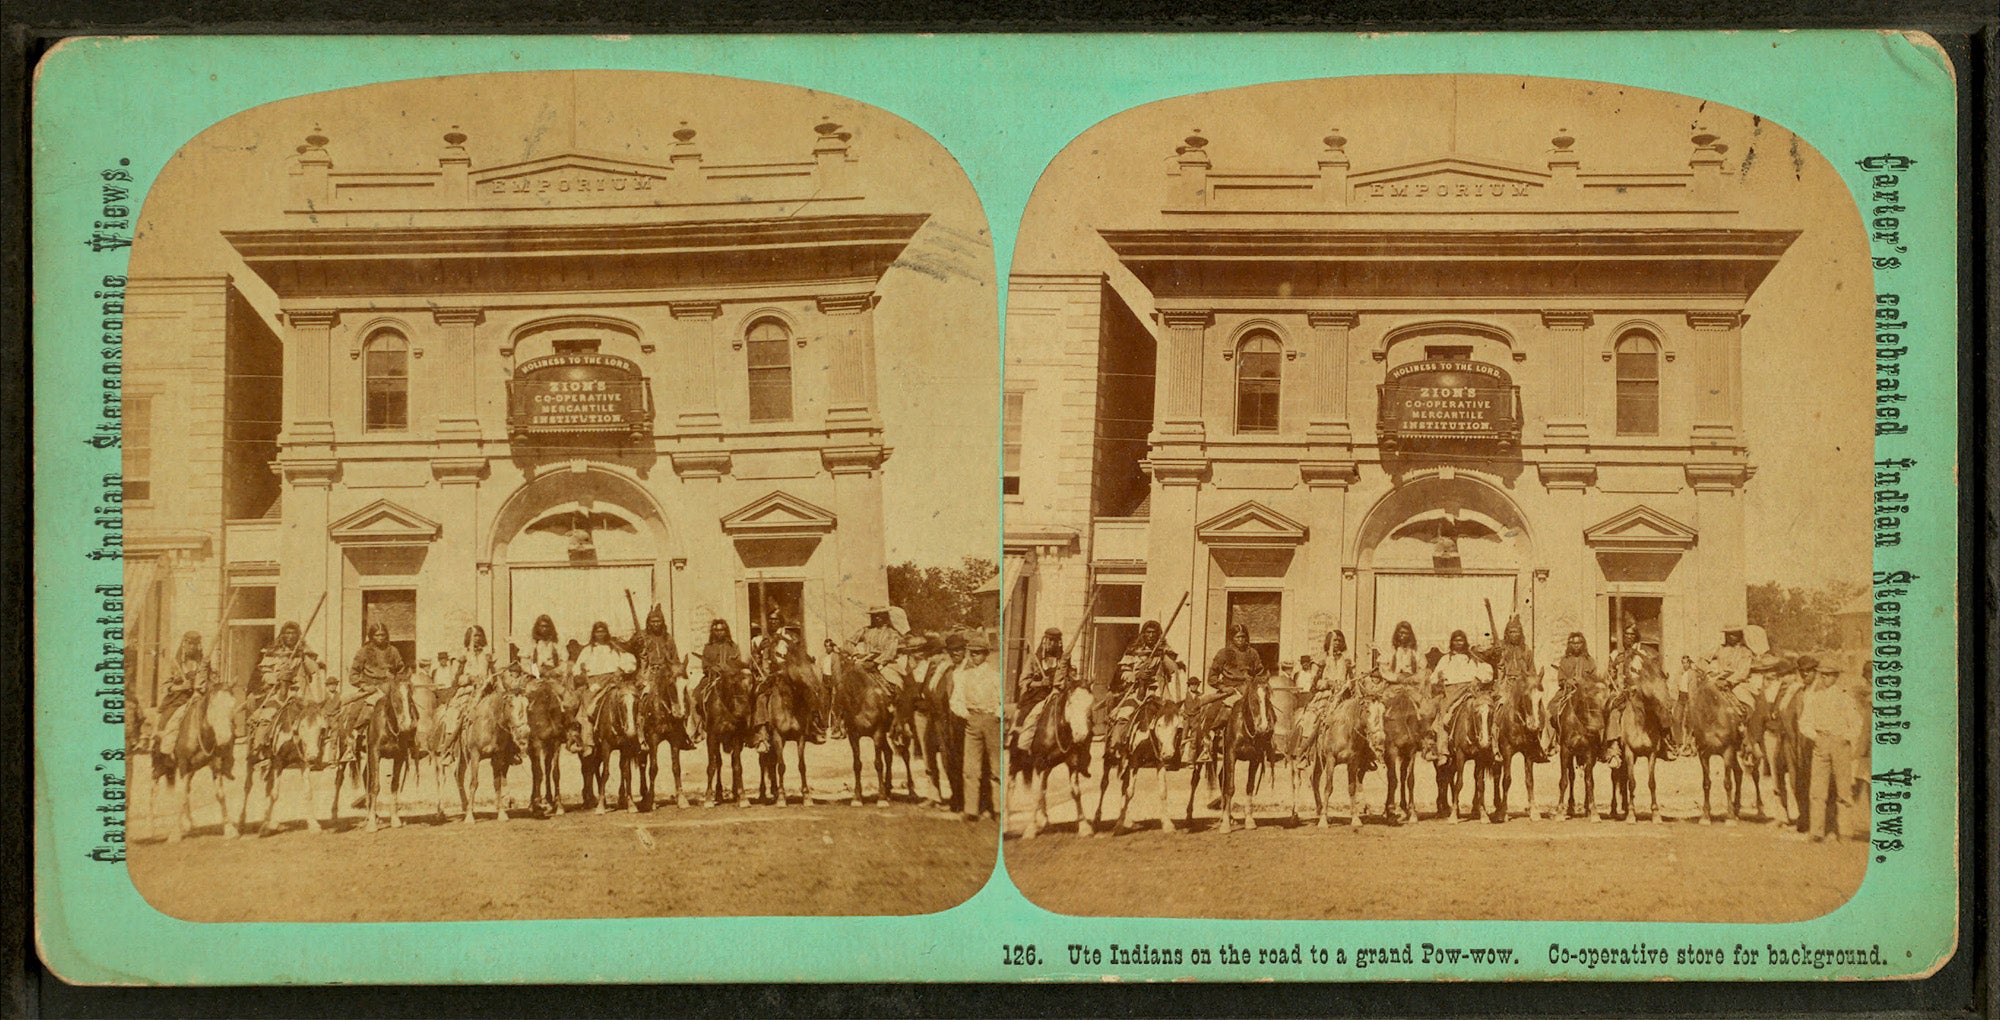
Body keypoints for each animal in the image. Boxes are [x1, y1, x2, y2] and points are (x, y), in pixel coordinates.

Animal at [824, 652, 896, 804]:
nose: (836, 711)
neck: (862, 702)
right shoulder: (854, 736)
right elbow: (857, 764)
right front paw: (857, 797)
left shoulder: (877, 734)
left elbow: (878, 763)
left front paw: (881, 798)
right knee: (889, 754)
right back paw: (888, 789)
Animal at [1016, 668, 1096, 836]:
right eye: (1071, 703)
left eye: (1091, 703)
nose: (1081, 735)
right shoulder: (1039, 762)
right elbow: (1038, 794)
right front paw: (1031, 828)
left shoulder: (1072, 760)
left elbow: (1076, 791)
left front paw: (1084, 826)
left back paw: (1045, 819)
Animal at [1440, 688, 1504, 824]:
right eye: (1476, 712)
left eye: (1491, 713)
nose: (1485, 742)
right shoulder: (1460, 755)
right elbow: (1459, 783)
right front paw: (1453, 816)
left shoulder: (1480, 758)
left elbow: (1480, 784)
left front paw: (1483, 815)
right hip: (1452, 758)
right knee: (1449, 776)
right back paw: (1453, 808)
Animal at [1688, 672, 1752, 824]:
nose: (1742, 711)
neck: (1712, 720)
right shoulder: (1703, 755)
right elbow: (1706, 783)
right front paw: (1705, 816)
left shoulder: (1727, 752)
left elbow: (1727, 783)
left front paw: (1729, 817)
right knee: (1739, 773)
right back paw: (1736, 809)